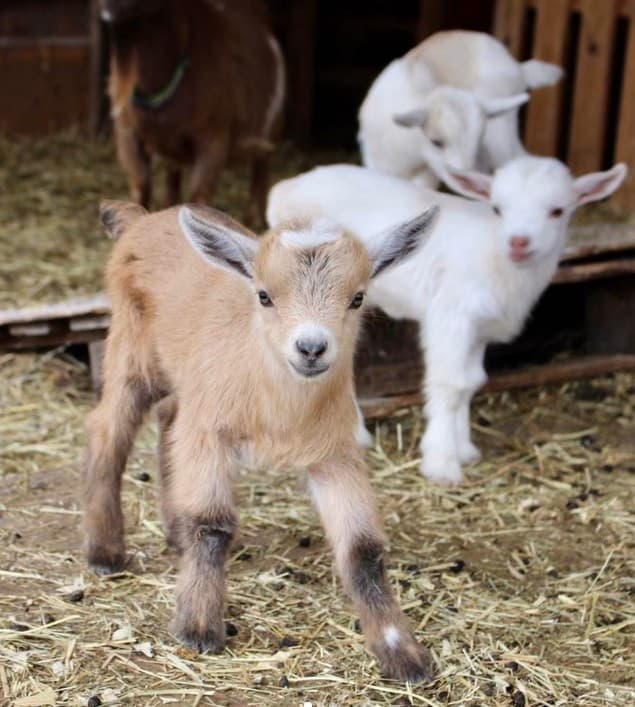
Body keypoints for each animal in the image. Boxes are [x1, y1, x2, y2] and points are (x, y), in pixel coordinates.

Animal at [83, 200, 439, 681]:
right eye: (265, 295)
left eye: (358, 297)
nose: (311, 348)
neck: (278, 410)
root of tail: (140, 219)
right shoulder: (213, 431)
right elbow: (212, 524)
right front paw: (197, 625)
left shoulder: (334, 454)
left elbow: (362, 551)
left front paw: (402, 651)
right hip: (131, 350)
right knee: (108, 429)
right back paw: (104, 551)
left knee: (169, 419)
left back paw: (173, 528)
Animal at [100, 0, 285, 226]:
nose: (108, 6)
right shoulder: (126, 134)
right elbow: (141, 186)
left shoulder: (213, 139)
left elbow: (199, 197)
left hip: (270, 131)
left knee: (261, 170)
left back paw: (255, 220)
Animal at [267, 158, 626, 485]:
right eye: (498, 209)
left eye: (557, 211)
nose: (518, 242)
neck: (497, 258)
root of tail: (285, 187)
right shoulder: (451, 316)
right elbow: (450, 385)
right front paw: (441, 462)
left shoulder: (479, 330)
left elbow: (471, 382)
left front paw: (463, 447)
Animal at [358, 30, 562, 187]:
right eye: (436, 142)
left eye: (478, 140)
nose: (466, 177)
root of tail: (519, 68)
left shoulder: (428, 173)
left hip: (501, 133)